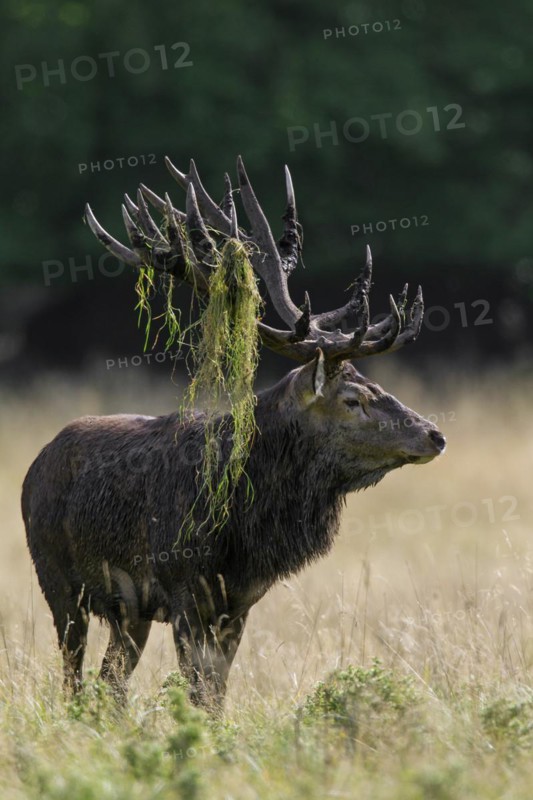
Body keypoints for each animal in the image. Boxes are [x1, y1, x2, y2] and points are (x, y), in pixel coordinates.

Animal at [21, 156, 446, 712]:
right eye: (352, 399)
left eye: (377, 385)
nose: (434, 435)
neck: (243, 528)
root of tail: (33, 467)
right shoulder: (183, 587)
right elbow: (197, 690)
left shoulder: (240, 600)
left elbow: (217, 692)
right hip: (56, 580)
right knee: (73, 676)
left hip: (129, 612)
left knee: (109, 682)